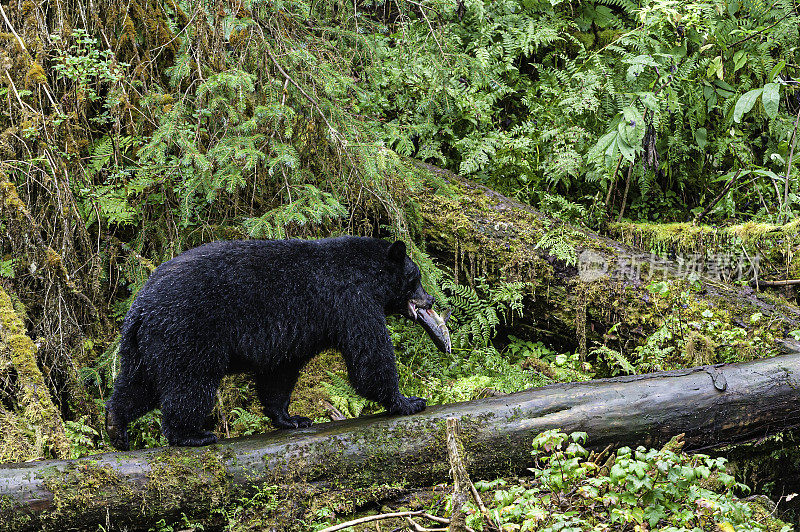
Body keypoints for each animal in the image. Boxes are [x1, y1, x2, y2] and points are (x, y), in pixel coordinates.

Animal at [106, 237, 434, 448]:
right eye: (416, 277)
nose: (430, 300)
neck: (367, 272)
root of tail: (140, 305)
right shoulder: (351, 301)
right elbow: (370, 355)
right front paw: (407, 401)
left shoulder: (290, 337)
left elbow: (279, 374)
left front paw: (291, 418)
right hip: (188, 332)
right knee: (189, 384)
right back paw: (191, 435)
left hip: (147, 344)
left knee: (138, 384)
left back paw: (115, 425)